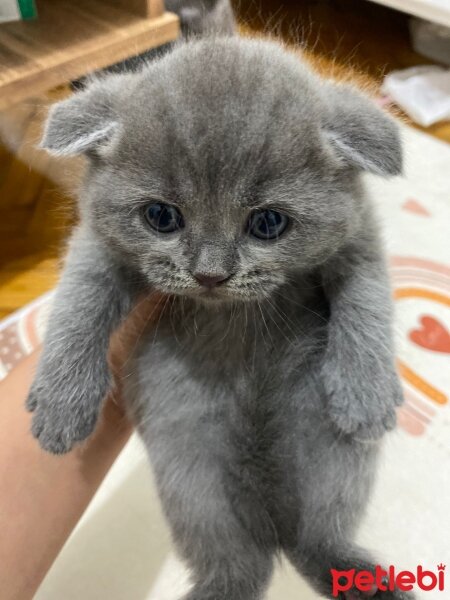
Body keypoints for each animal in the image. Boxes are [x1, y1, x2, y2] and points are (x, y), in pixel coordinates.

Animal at [27, 38, 412, 600]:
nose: (210, 274)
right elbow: (79, 301)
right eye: (161, 217)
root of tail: (272, 519)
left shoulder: (359, 233)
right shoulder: (99, 244)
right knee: (237, 564)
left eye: (268, 223)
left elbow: (367, 299)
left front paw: (365, 393)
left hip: (329, 456)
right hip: (190, 475)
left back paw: (364, 580)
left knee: (318, 539)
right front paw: (62, 405)